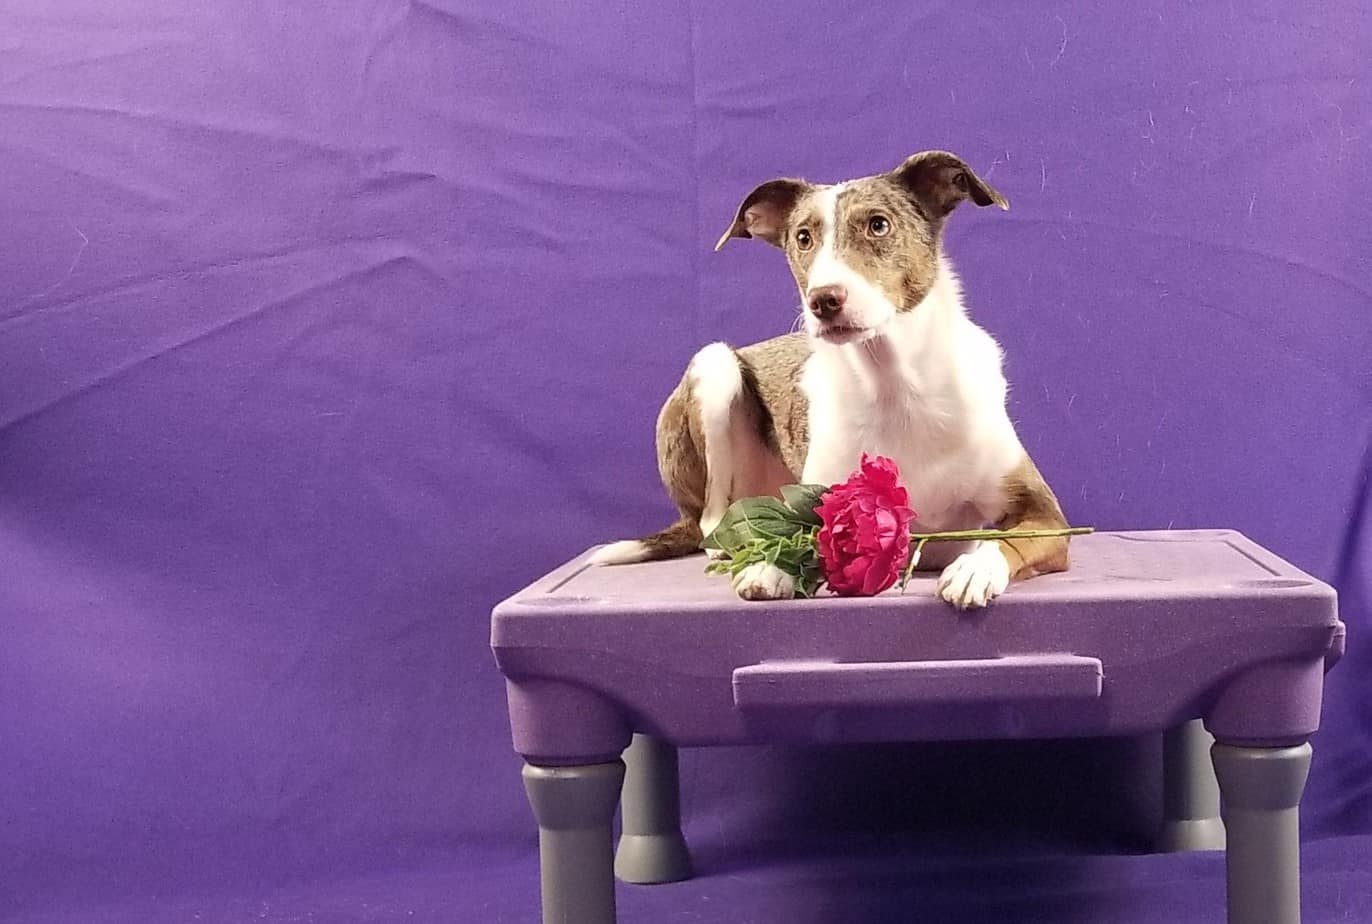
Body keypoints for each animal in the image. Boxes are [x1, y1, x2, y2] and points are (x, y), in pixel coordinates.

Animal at [589, 151, 1070, 609]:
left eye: (879, 225)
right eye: (803, 237)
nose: (824, 299)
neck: (895, 386)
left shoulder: (1046, 516)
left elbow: (1002, 540)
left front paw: (975, 570)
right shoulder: (824, 503)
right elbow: (807, 537)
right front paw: (774, 566)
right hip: (715, 366)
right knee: (711, 524)